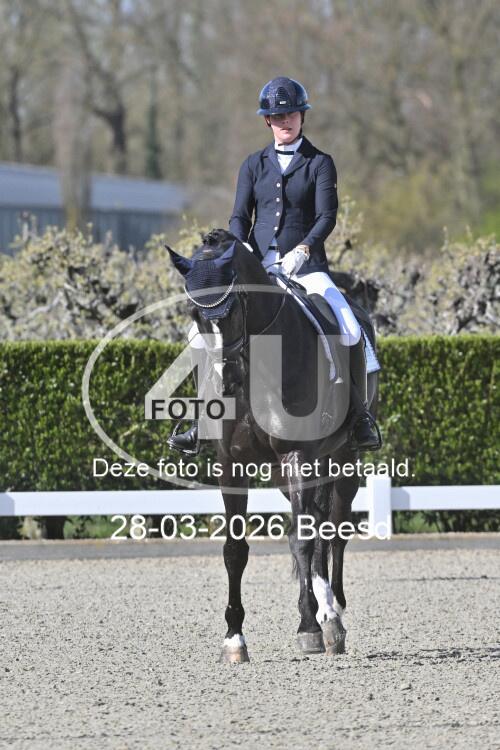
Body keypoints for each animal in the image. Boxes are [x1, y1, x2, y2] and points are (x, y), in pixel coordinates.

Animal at [166, 228, 379, 662]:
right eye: (195, 315)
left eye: (234, 308)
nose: (226, 381)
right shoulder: (230, 464)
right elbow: (235, 550)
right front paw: (234, 639)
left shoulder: (299, 454)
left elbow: (306, 539)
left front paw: (315, 626)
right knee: (313, 529)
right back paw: (319, 610)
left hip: (342, 457)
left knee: (332, 529)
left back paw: (332, 613)